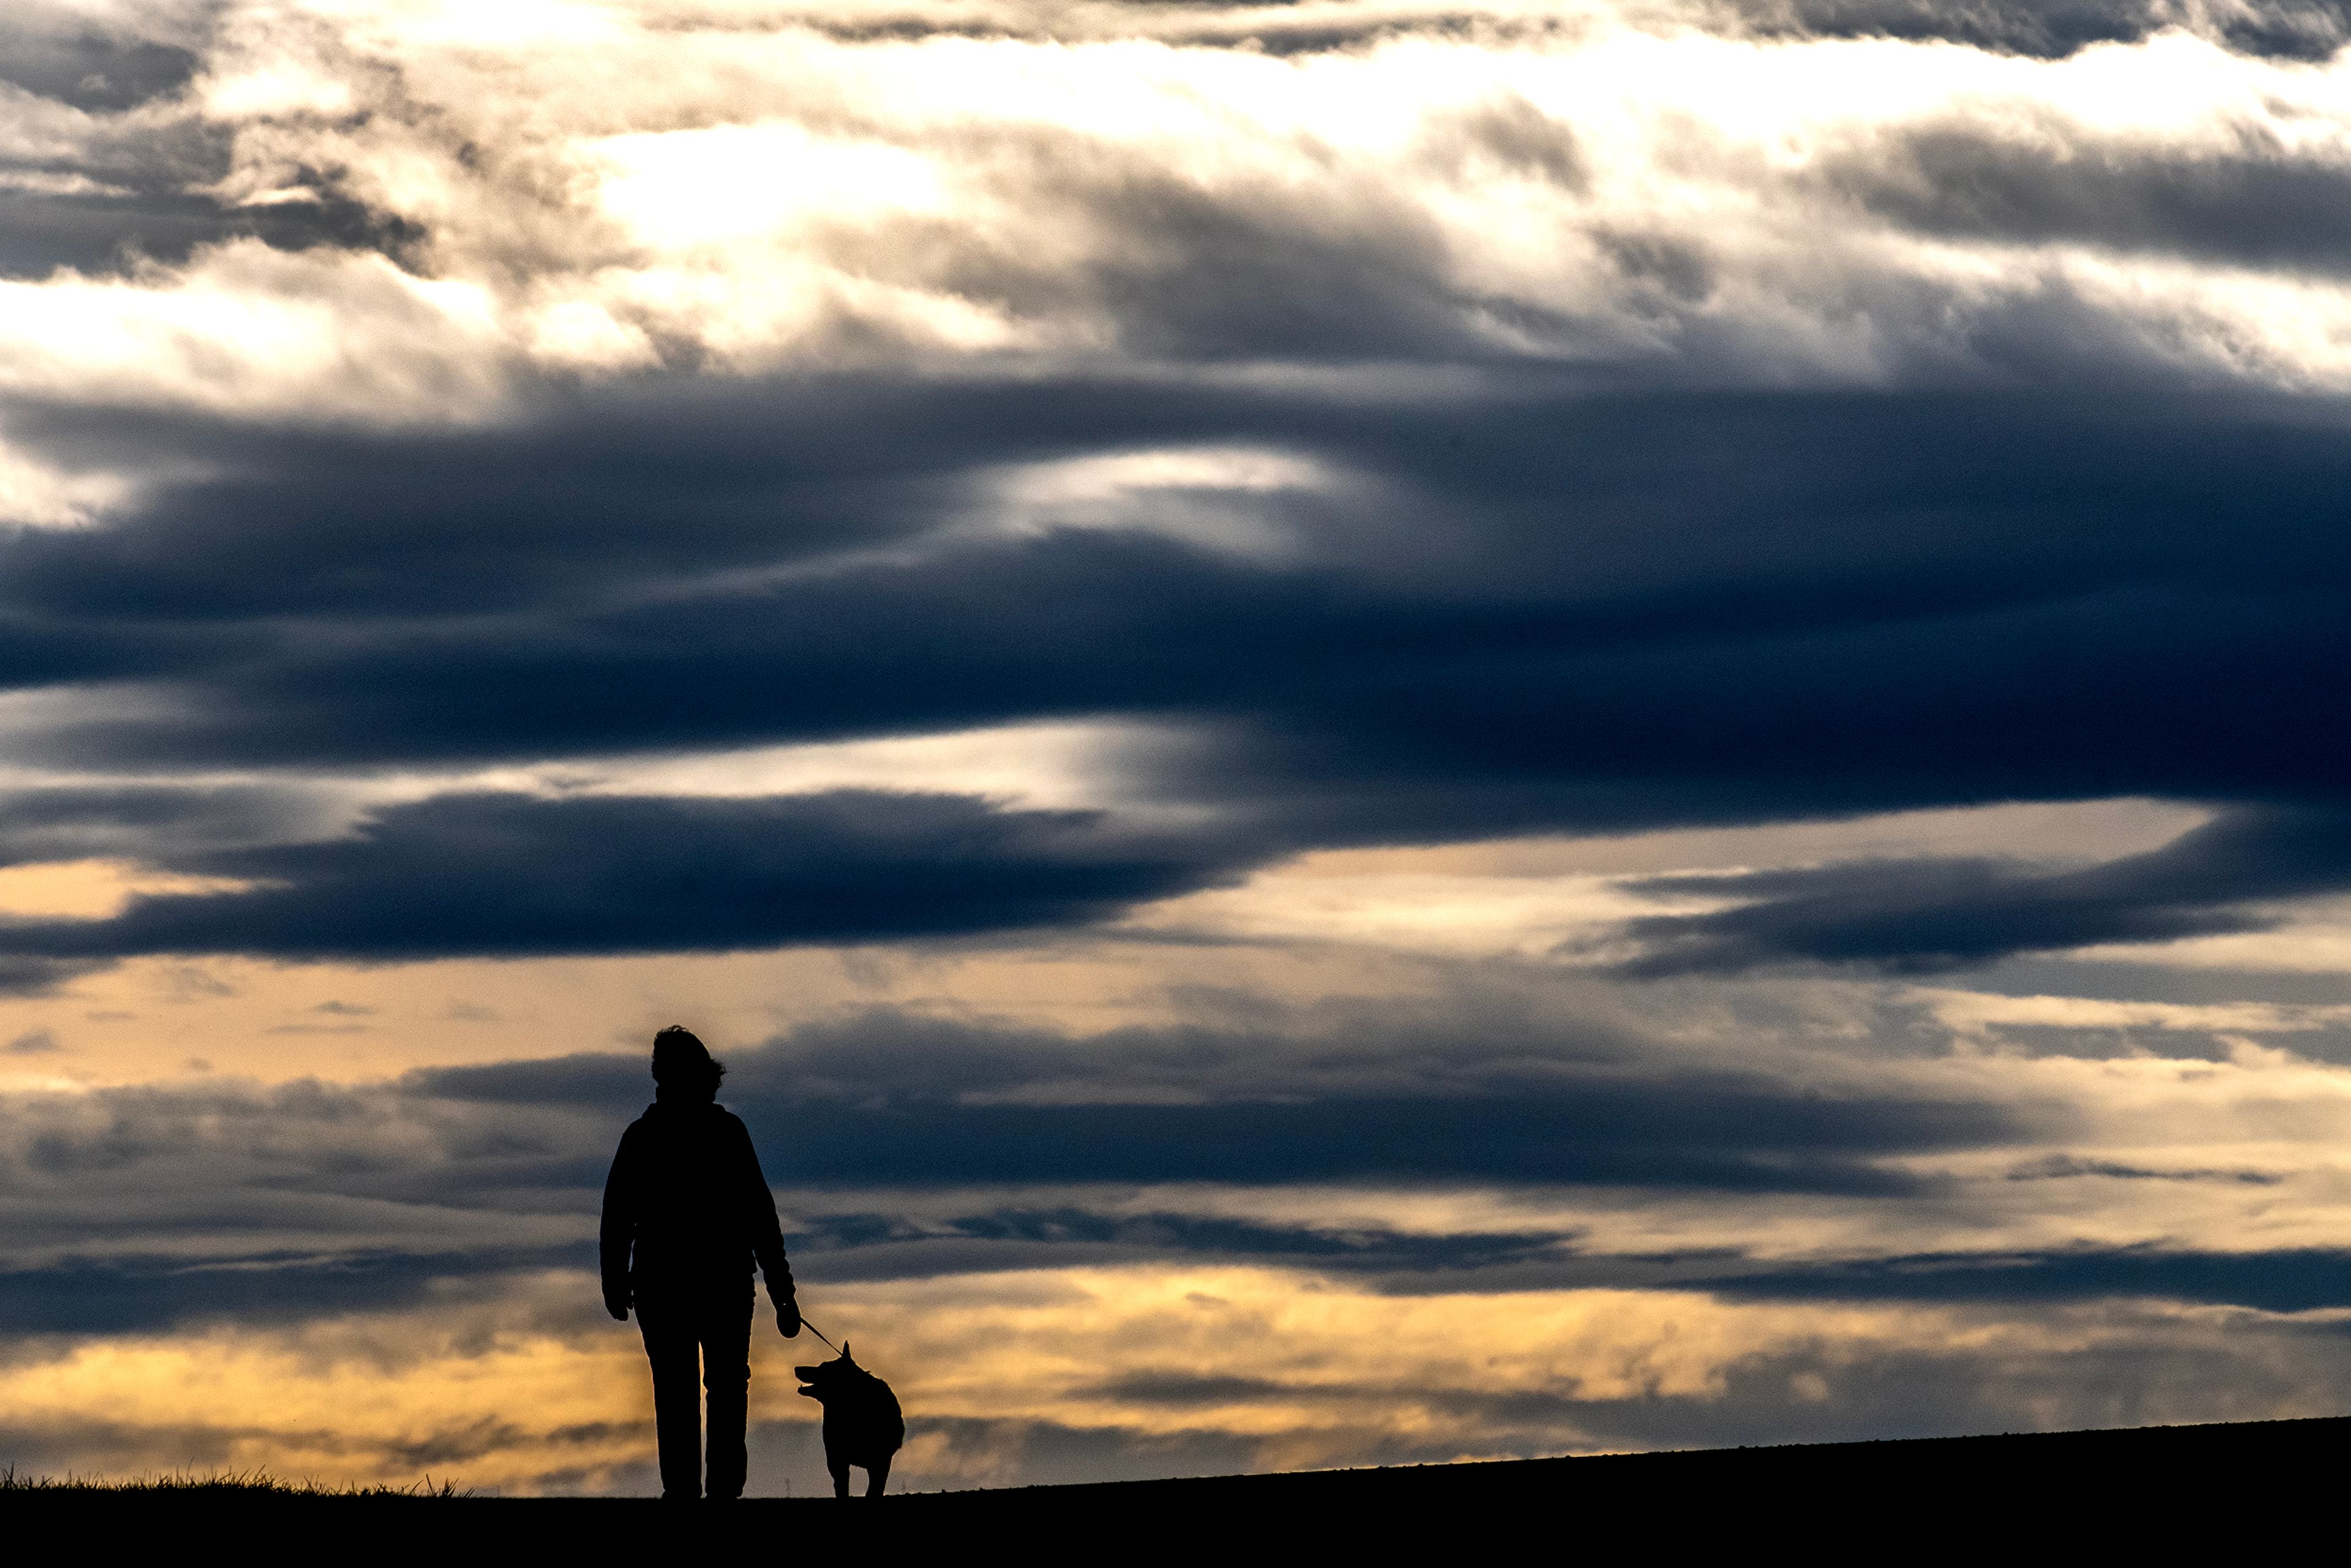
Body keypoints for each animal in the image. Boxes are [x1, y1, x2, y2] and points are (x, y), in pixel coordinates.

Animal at [790, 1345, 898, 1504]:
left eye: (823, 1367)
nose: (797, 1368)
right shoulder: (836, 1457)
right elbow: (841, 1485)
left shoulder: (881, 1459)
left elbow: (876, 1486)